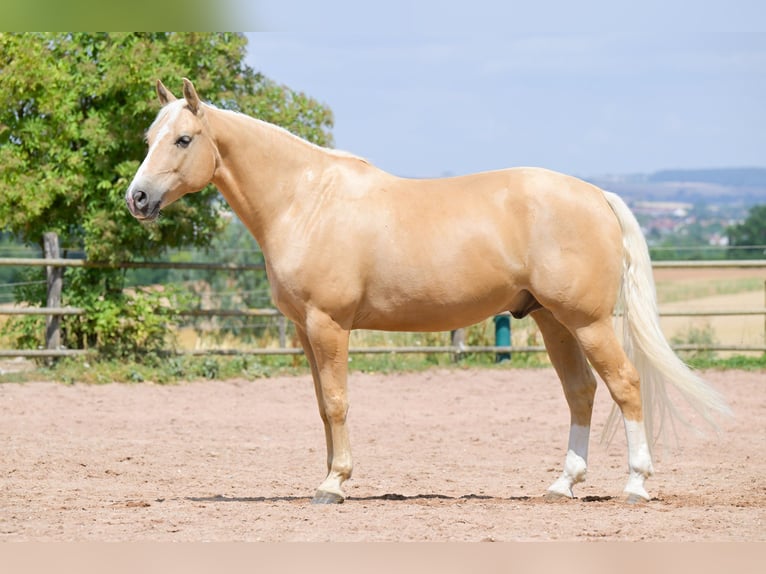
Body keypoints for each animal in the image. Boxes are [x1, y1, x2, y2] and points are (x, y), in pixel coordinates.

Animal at [126, 78, 731, 504]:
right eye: (150, 139)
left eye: (184, 139)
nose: (138, 198)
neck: (305, 201)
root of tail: (596, 195)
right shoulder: (303, 329)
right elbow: (322, 406)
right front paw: (326, 476)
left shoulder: (328, 324)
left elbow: (339, 402)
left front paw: (335, 484)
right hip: (554, 320)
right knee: (580, 392)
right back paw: (563, 485)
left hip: (588, 321)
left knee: (625, 385)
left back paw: (635, 484)